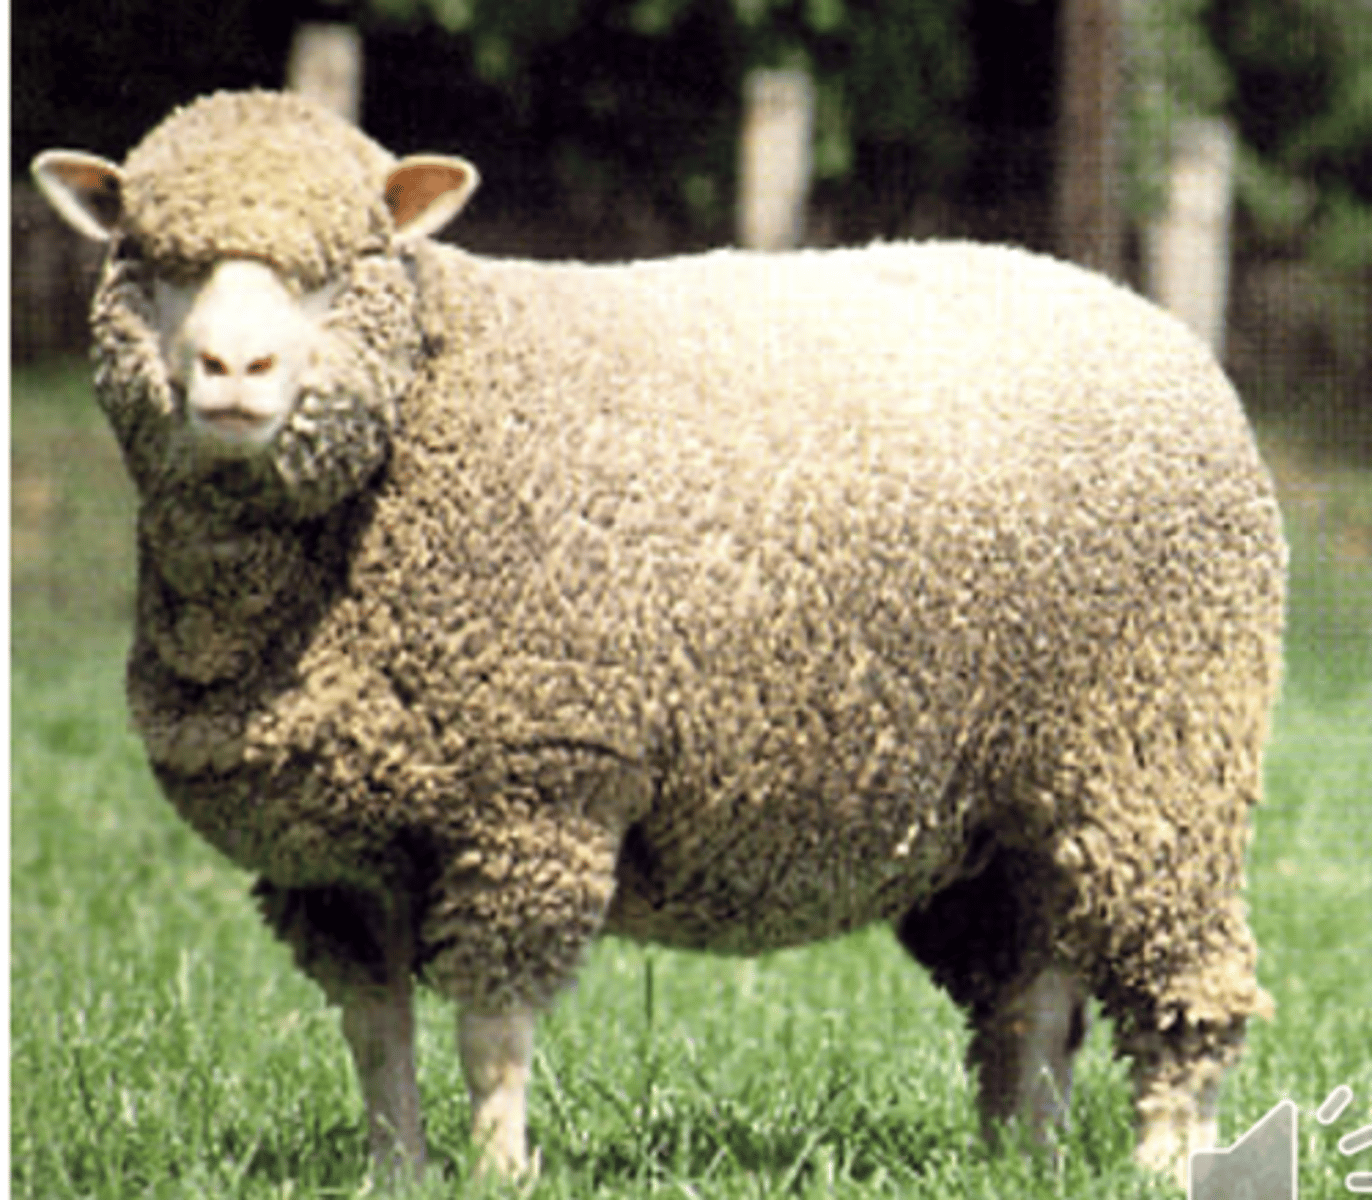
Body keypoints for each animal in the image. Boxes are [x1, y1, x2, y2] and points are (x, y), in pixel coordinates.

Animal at [33, 89, 1286, 1190]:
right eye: (148, 262)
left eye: (344, 267)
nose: (231, 373)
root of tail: (1143, 313)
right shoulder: (333, 852)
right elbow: (375, 1032)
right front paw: (394, 1171)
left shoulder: (534, 794)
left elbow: (493, 1029)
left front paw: (500, 1175)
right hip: (1013, 817)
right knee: (1037, 996)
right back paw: (1022, 1160)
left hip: (1160, 759)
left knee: (1180, 987)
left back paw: (1160, 1161)